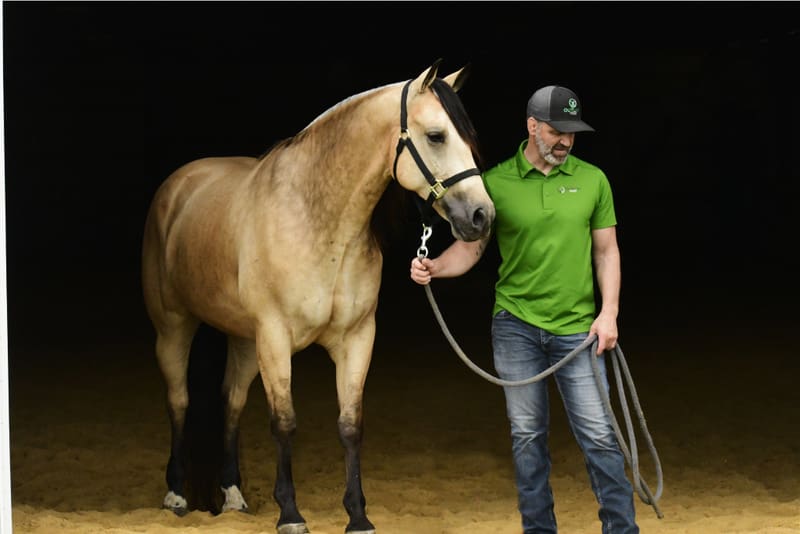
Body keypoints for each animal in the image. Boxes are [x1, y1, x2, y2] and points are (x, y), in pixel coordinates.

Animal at [140, 59, 495, 534]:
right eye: (437, 135)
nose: (481, 217)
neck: (318, 222)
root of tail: (178, 185)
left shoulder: (357, 338)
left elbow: (350, 424)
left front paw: (358, 515)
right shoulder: (275, 338)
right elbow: (285, 422)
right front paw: (290, 514)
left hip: (245, 341)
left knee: (231, 403)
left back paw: (232, 494)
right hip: (175, 327)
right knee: (179, 401)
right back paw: (176, 495)